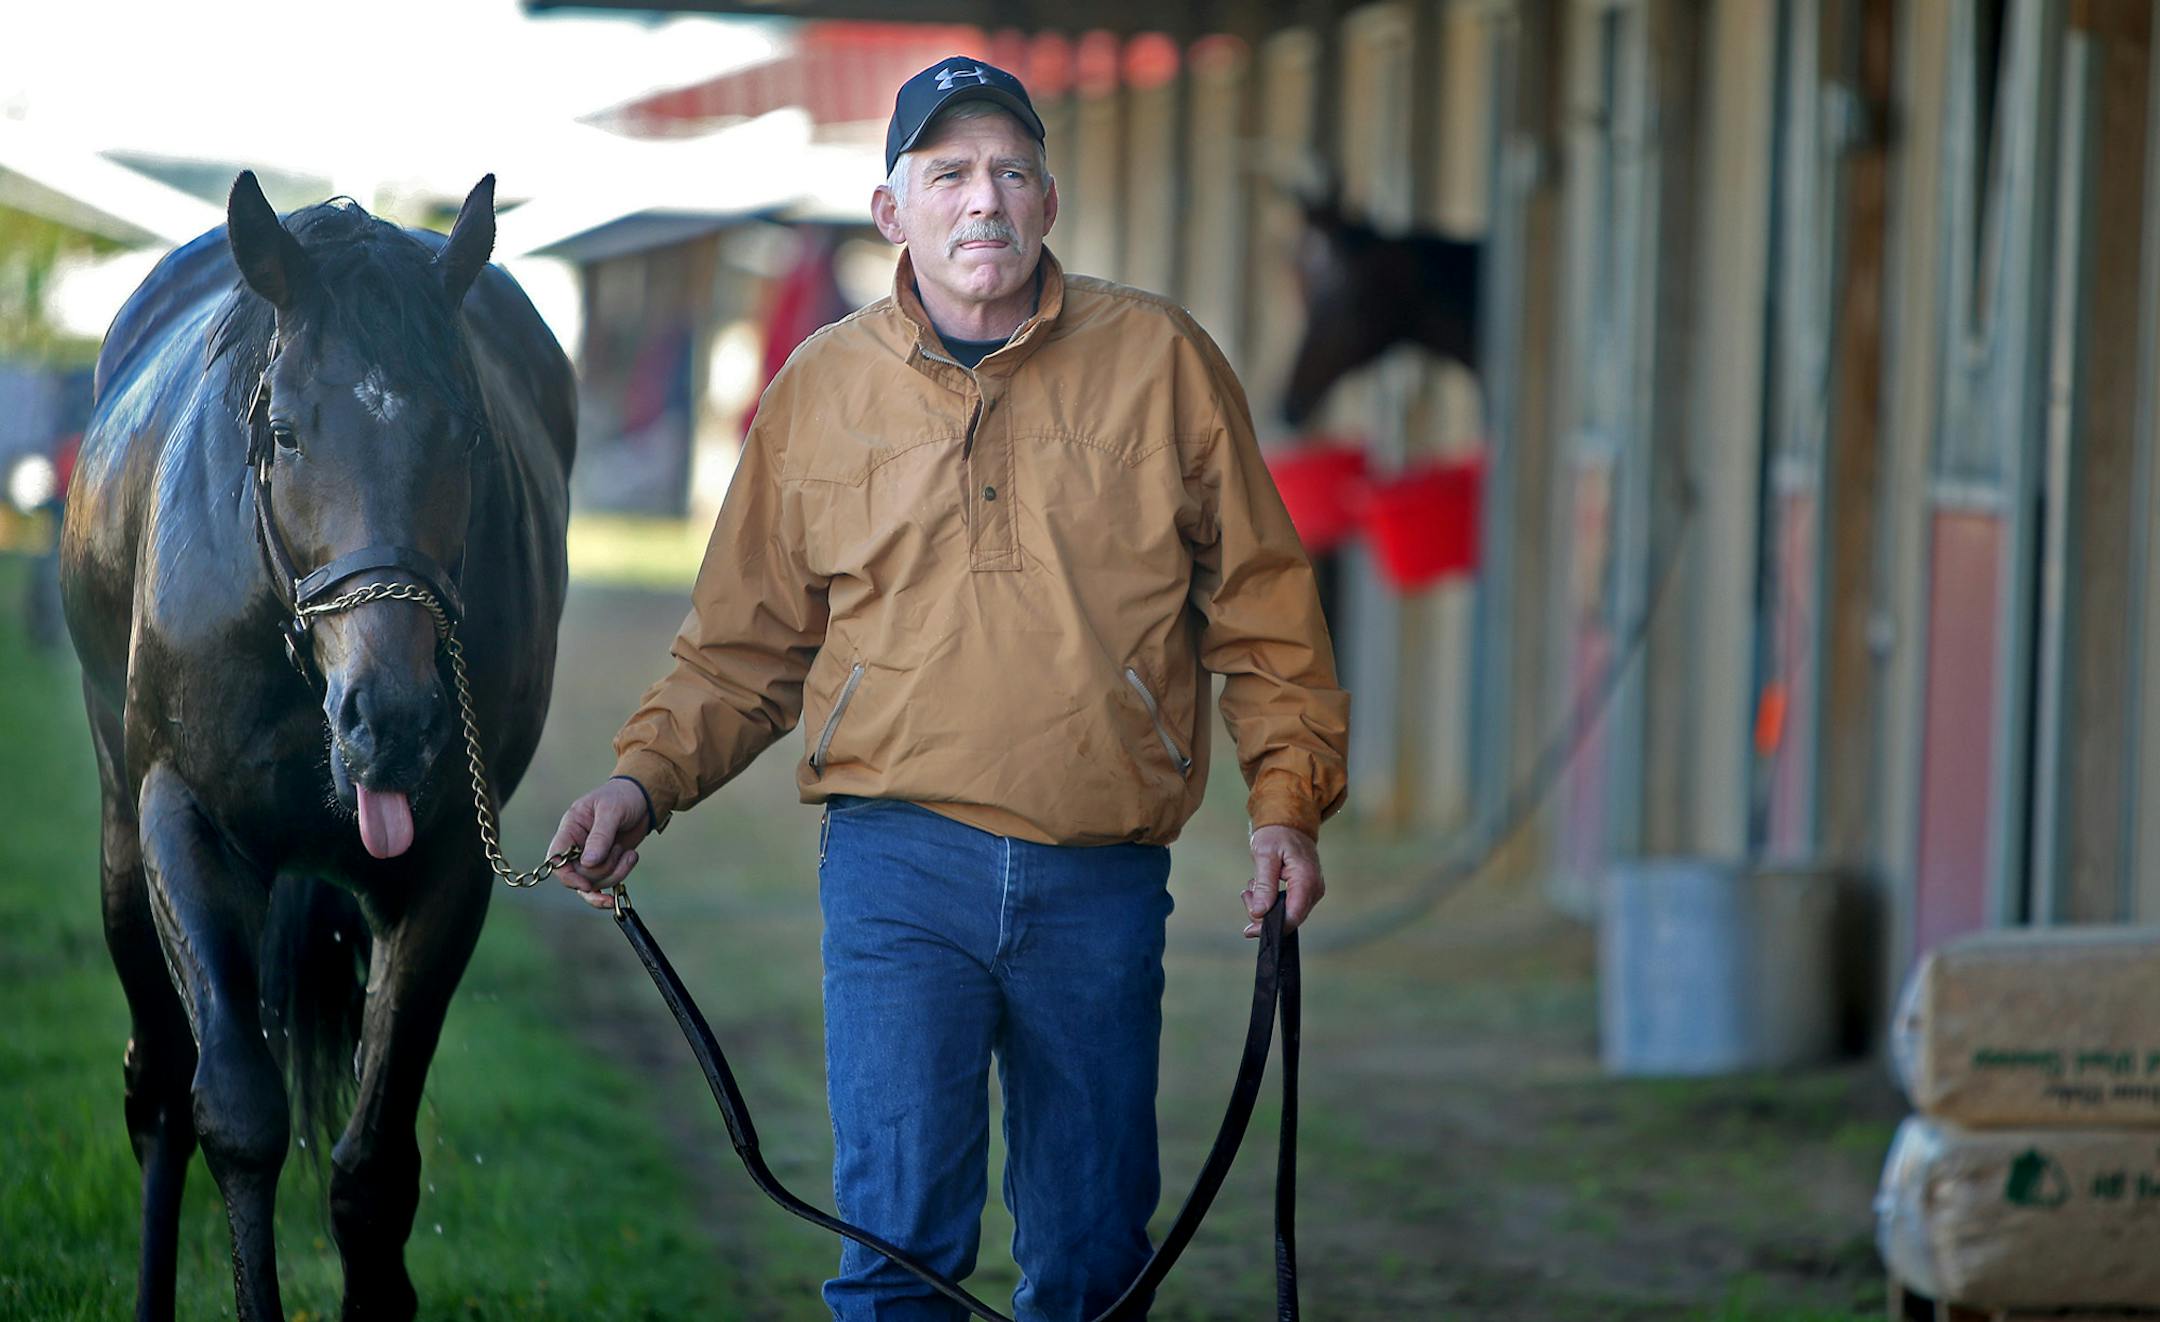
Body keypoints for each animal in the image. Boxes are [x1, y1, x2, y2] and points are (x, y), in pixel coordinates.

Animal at [60, 171, 575, 1321]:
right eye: (288, 433)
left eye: (465, 432)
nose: (397, 719)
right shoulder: (183, 823)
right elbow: (236, 1115)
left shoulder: (450, 862)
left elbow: (374, 1167)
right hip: (116, 839)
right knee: (157, 1088)